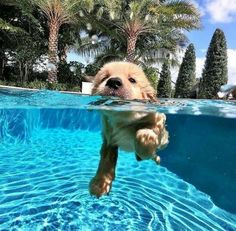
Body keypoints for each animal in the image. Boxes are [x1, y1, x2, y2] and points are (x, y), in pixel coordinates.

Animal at [89, 61, 169, 197]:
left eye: (132, 80)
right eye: (104, 77)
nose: (113, 81)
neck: (123, 119)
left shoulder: (159, 121)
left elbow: (143, 133)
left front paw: (147, 138)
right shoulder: (109, 139)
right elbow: (106, 160)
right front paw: (100, 182)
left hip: (164, 141)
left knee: (155, 153)